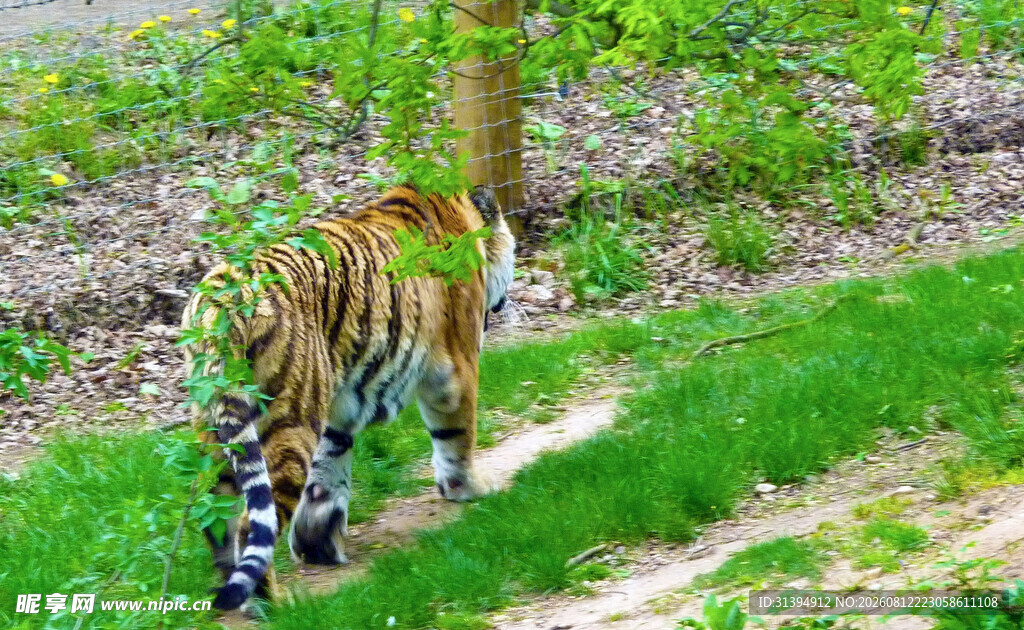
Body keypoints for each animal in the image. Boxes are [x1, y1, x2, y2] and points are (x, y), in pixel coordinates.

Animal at [181, 186, 515, 611]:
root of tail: (220, 300)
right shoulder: (456, 371)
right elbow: (457, 439)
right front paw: (469, 488)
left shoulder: (339, 406)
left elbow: (328, 468)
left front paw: (317, 541)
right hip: (290, 418)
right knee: (250, 523)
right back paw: (272, 604)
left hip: (216, 426)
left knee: (214, 516)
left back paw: (231, 592)